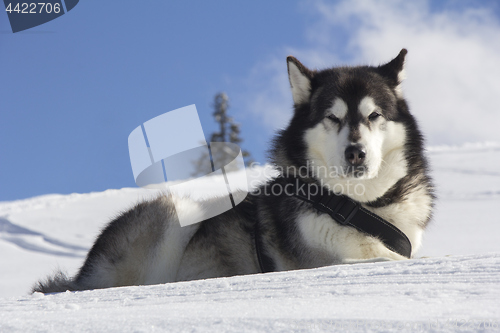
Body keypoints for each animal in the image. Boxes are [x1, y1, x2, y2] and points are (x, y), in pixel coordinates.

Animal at [34, 49, 434, 294]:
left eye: (373, 115)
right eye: (332, 117)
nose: (356, 153)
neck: (355, 206)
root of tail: (83, 273)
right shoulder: (319, 261)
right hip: (174, 210)